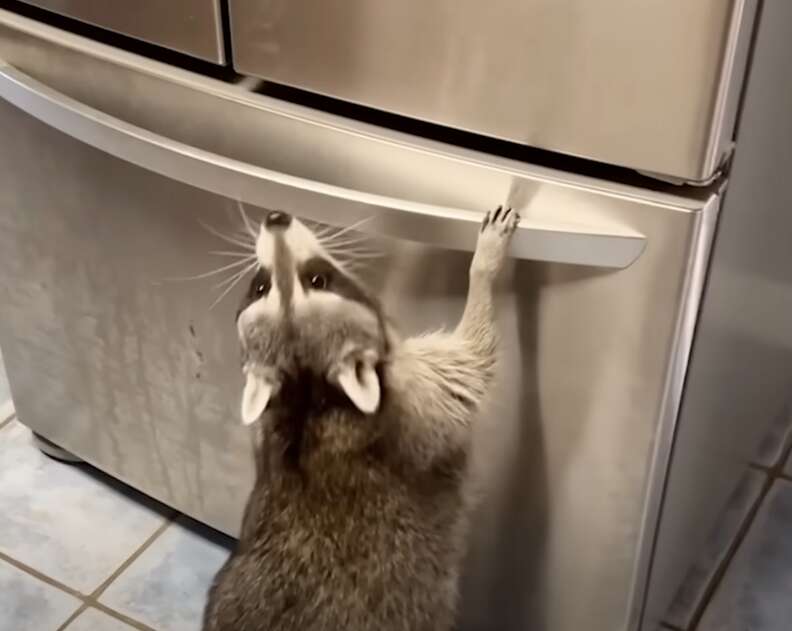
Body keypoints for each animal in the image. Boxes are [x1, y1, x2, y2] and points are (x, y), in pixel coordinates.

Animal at [201, 209, 516, 631]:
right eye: (263, 286)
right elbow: (476, 353)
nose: (276, 217)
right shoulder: (423, 397)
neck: (311, 397)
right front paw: (484, 264)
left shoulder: (267, 429)